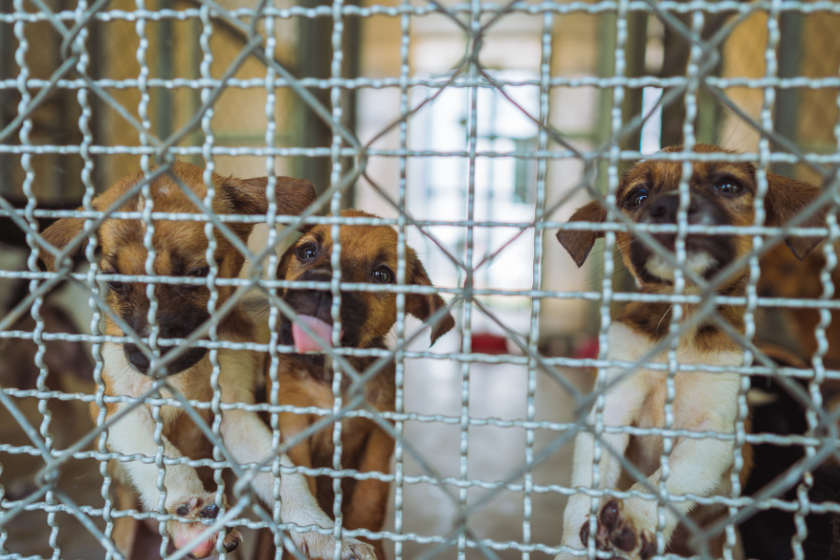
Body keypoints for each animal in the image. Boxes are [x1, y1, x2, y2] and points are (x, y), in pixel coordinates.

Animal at [556, 145, 824, 560]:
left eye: (728, 186)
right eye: (638, 196)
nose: (670, 206)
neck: (683, 325)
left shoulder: (714, 432)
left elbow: (672, 475)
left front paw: (634, 515)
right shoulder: (612, 406)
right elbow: (587, 485)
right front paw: (574, 545)